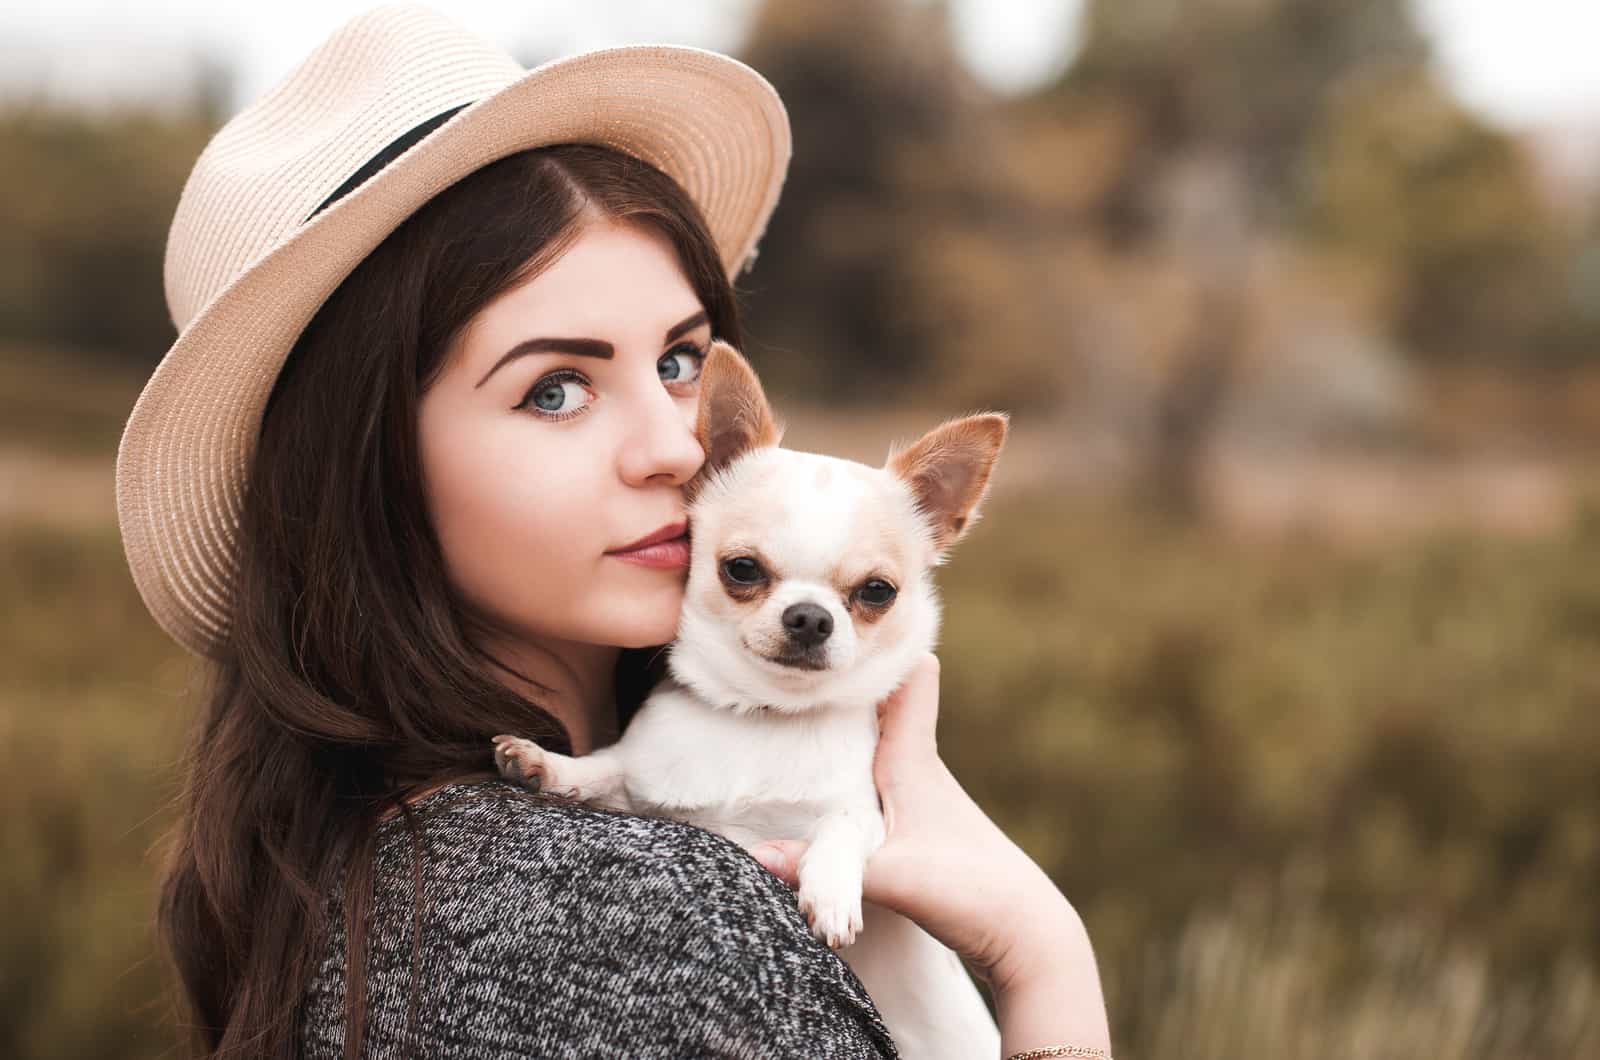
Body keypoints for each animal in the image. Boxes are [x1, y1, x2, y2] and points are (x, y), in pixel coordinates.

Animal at [492, 342, 1004, 1060]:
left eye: (877, 591)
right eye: (741, 570)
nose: (810, 617)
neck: (765, 718)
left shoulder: (874, 814)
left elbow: (845, 827)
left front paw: (832, 892)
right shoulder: (641, 783)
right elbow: (599, 768)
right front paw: (542, 764)